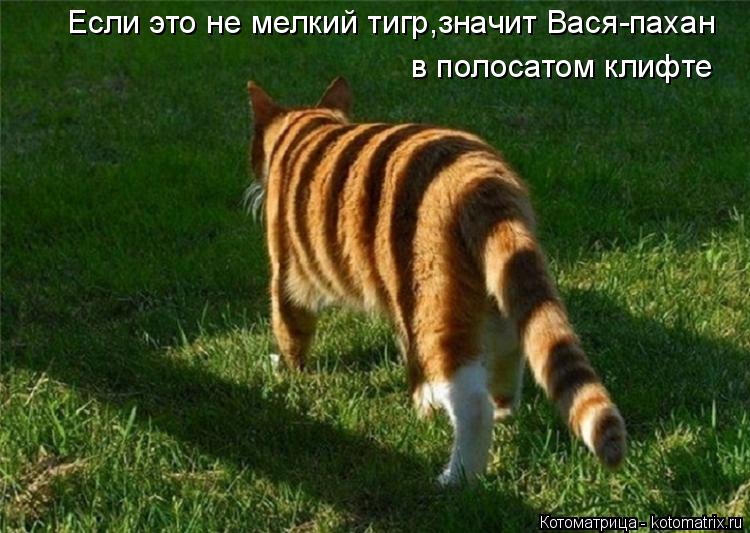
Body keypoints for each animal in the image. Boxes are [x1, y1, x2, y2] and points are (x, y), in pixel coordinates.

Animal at [245, 77, 626, 485]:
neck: (312, 127)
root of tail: (480, 175)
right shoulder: (401, 304)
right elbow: (412, 359)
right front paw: (422, 406)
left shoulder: (287, 276)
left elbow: (290, 331)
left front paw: (288, 371)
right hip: (491, 287)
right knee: (513, 347)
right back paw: (504, 408)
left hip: (435, 301)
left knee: (472, 403)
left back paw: (456, 478)